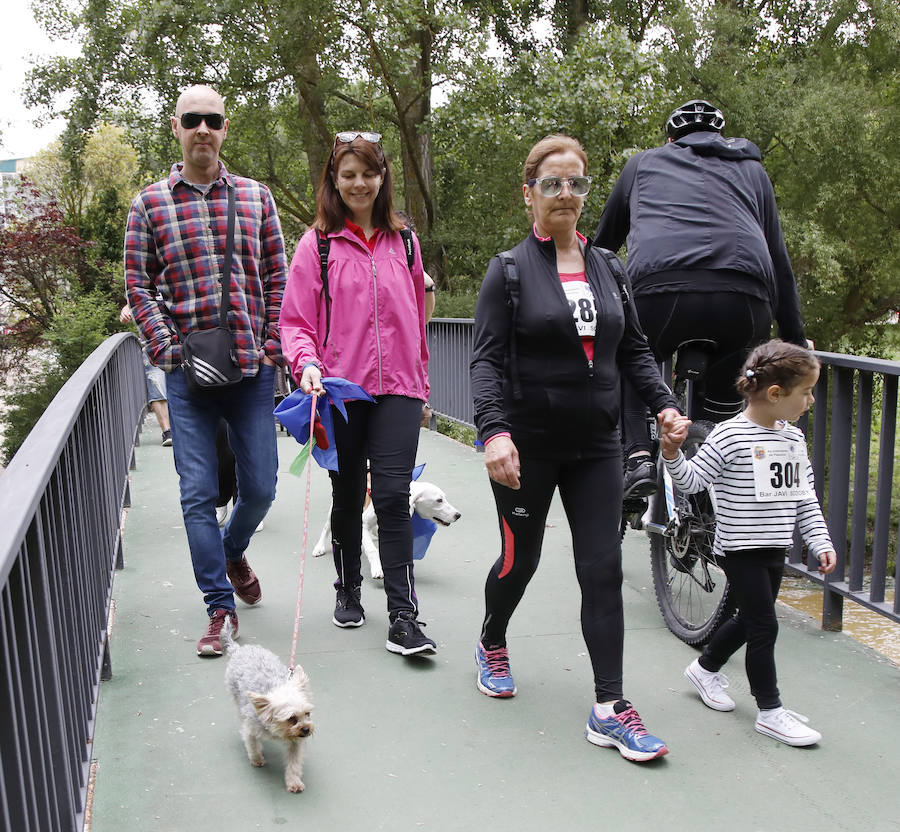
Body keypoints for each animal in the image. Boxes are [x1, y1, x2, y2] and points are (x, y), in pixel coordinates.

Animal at [222, 624, 316, 792]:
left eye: (308, 713)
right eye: (291, 718)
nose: (306, 729)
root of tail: (238, 649)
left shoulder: (296, 743)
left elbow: (294, 764)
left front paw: (294, 782)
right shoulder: (251, 728)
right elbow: (252, 744)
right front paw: (257, 759)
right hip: (236, 698)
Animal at [312, 478, 464, 580]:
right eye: (439, 500)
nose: (458, 515)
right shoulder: (363, 524)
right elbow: (372, 550)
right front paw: (377, 568)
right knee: (327, 527)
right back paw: (319, 547)